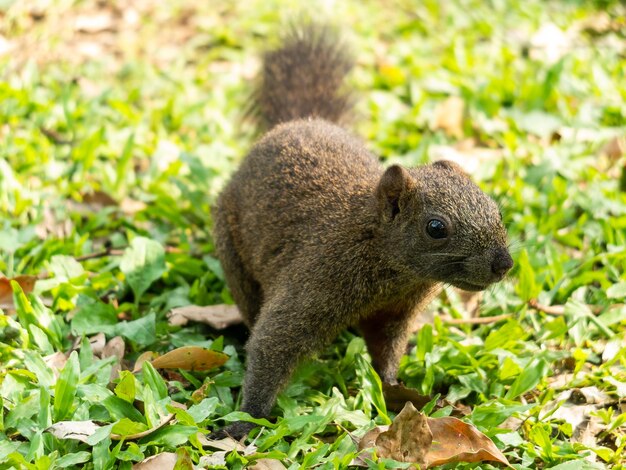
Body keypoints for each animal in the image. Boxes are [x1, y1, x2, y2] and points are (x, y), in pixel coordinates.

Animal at [211, 23, 512, 438]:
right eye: (436, 228)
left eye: (494, 209)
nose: (504, 263)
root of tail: (298, 121)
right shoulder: (312, 283)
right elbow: (271, 343)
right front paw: (244, 422)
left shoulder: (395, 312)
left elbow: (386, 351)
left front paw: (393, 386)